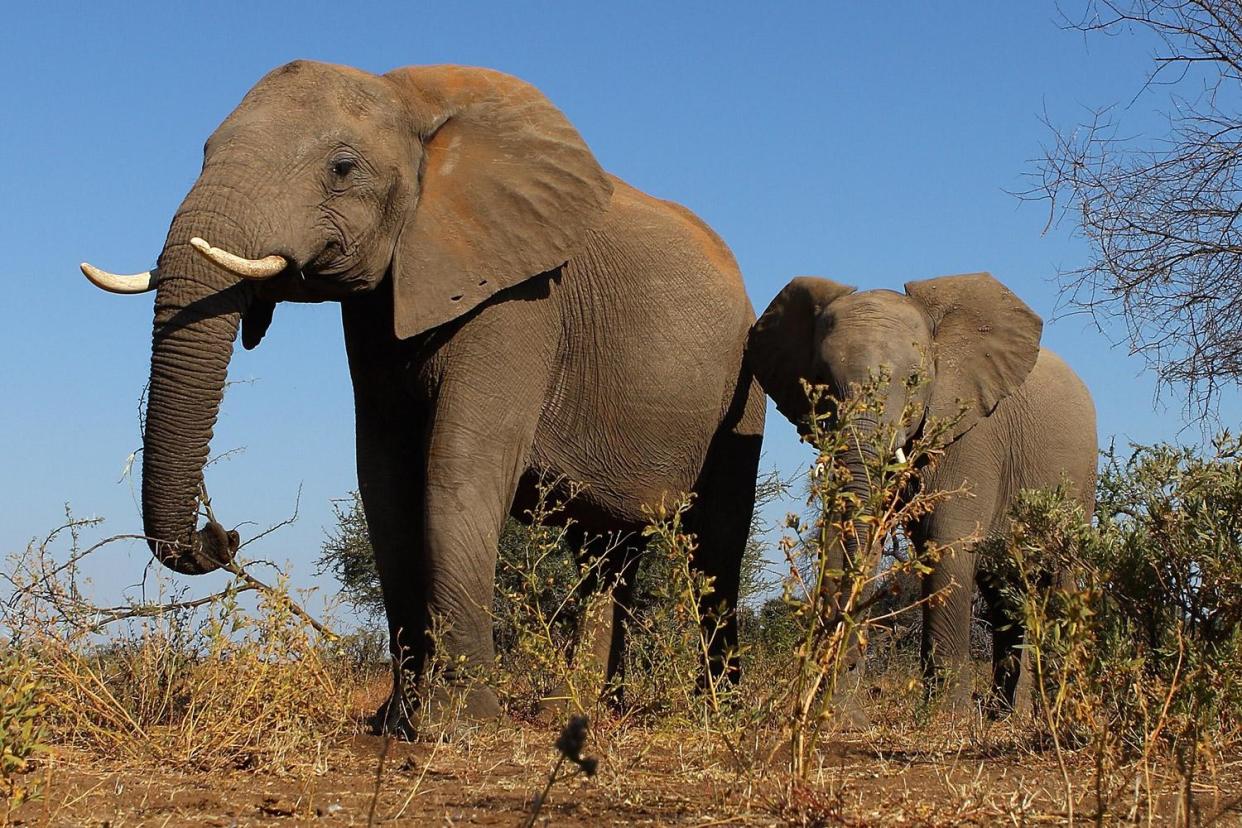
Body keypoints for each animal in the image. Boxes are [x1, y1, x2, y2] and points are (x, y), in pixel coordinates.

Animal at [82, 61, 760, 734]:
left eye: (342, 168)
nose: (222, 536)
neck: (409, 99)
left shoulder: (518, 296)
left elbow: (457, 468)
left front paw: (462, 725)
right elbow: (384, 478)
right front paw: (395, 722)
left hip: (741, 388)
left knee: (716, 546)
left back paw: (715, 715)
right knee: (605, 552)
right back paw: (576, 714)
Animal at [740, 271, 1092, 715]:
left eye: (913, 381)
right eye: (822, 383)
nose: (848, 674)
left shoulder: (973, 434)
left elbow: (946, 543)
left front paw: (947, 718)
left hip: (1079, 482)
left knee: (1057, 578)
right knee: (1002, 593)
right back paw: (1001, 714)